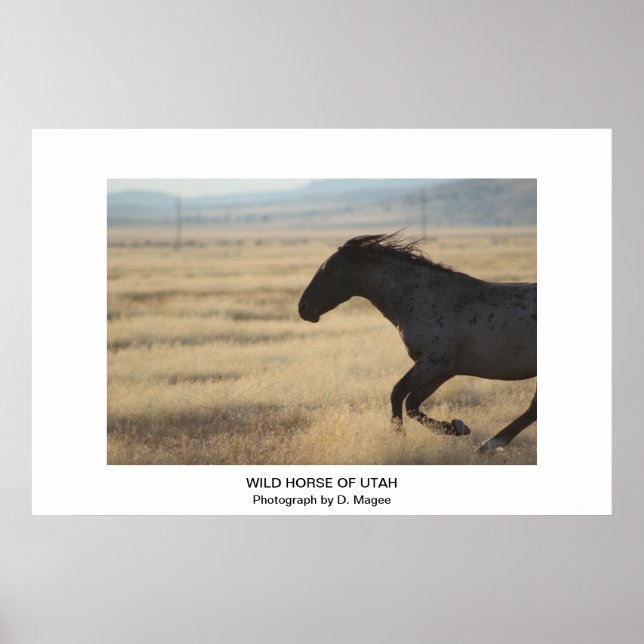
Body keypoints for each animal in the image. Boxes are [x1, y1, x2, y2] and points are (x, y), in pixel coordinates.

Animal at [297, 233, 536, 454]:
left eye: (329, 270)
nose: (303, 308)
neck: (425, 299)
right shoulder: (442, 371)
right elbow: (412, 404)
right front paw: (456, 426)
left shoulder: (433, 363)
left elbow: (397, 393)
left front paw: (400, 437)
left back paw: (489, 445)